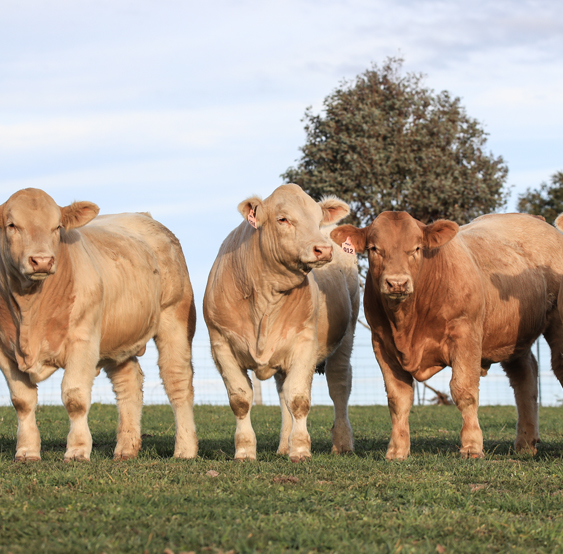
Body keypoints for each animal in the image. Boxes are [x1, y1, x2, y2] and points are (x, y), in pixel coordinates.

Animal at [0, 188, 198, 460]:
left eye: (57, 227)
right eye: (12, 225)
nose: (41, 260)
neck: (30, 311)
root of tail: (144, 216)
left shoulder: (83, 341)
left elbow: (74, 397)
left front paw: (77, 450)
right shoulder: (5, 351)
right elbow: (22, 401)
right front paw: (27, 451)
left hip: (175, 318)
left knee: (177, 380)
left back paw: (185, 449)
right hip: (118, 339)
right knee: (129, 383)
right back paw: (126, 448)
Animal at [205, 183, 360, 460]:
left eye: (317, 218)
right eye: (283, 219)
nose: (323, 249)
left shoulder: (305, 343)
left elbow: (298, 399)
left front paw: (300, 449)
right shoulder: (220, 345)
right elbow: (241, 400)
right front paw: (245, 451)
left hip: (346, 336)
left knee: (339, 385)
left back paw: (342, 443)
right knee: (281, 392)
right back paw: (283, 445)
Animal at [330, 210, 563, 458]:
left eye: (417, 248)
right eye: (374, 248)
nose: (397, 283)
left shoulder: (465, 336)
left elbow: (463, 391)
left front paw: (471, 446)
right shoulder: (382, 344)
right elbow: (398, 398)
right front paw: (397, 449)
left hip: (554, 327)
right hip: (511, 339)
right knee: (525, 377)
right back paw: (525, 443)